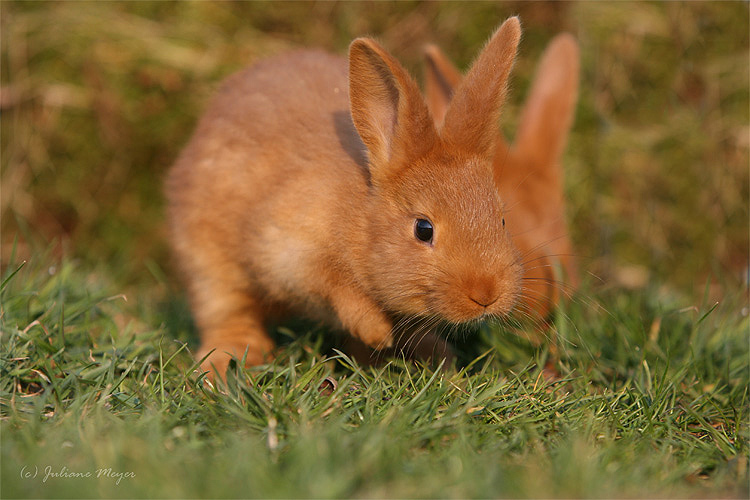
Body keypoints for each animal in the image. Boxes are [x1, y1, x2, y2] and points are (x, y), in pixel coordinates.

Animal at [167, 16, 524, 378]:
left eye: (502, 219)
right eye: (423, 230)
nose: (486, 295)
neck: (361, 217)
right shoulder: (290, 250)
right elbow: (338, 288)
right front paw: (376, 332)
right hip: (208, 264)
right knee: (226, 311)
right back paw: (232, 359)